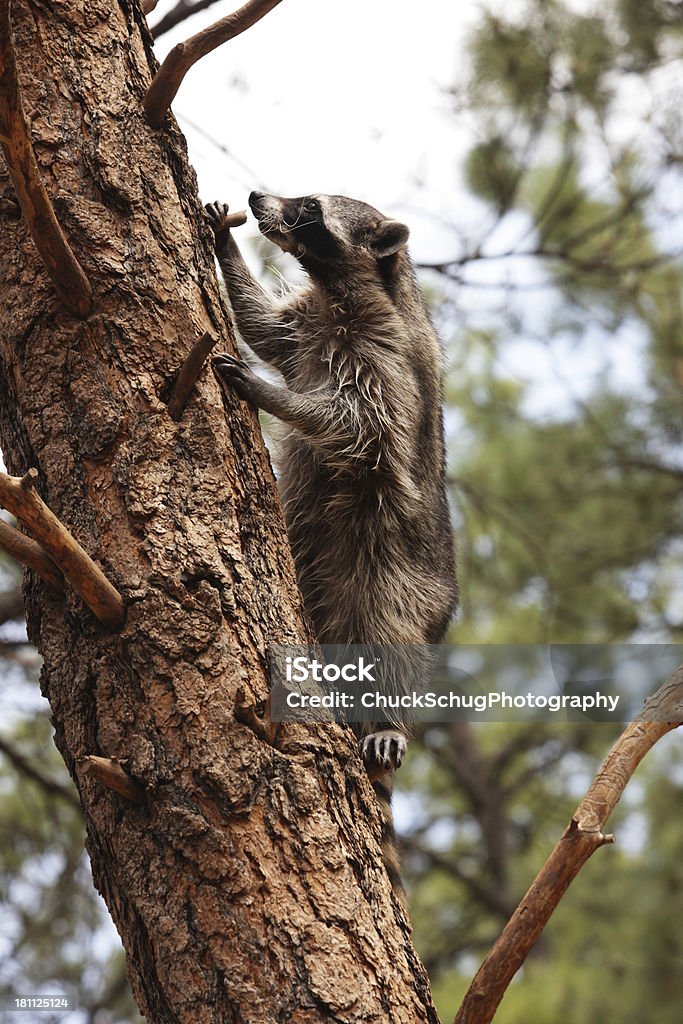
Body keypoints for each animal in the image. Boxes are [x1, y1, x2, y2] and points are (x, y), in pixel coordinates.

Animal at [205, 190, 456, 905]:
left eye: (311, 209)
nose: (260, 198)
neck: (360, 284)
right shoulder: (309, 325)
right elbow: (268, 328)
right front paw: (225, 246)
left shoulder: (385, 365)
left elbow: (350, 425)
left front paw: (273, 394)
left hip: (402, 575)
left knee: (391, 637)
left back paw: (388, 721)